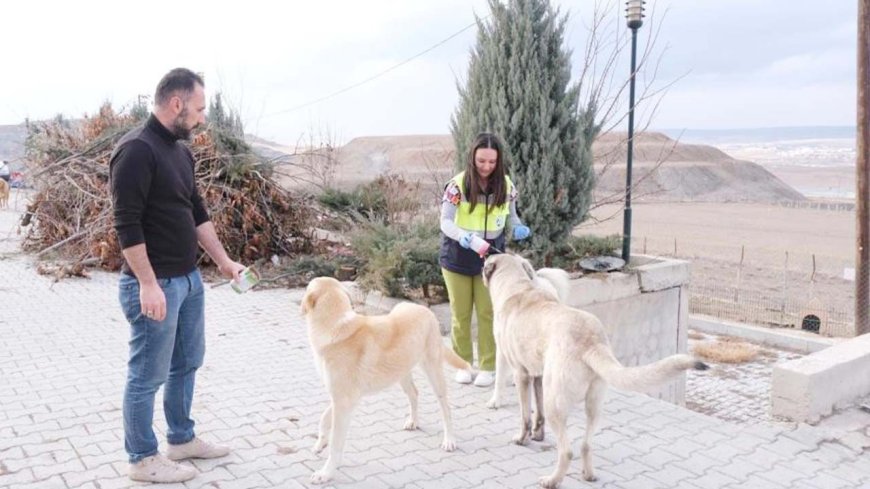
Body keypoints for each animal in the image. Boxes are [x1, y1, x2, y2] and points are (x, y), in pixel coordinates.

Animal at [304, 276, 474, 482]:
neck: (336, 325)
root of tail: (425, 310)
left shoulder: (343, 402)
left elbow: (336, 444)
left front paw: (326, 473)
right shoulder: (342, 398)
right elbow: (323, 418)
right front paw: (320, 444)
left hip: (433, 372)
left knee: (446, 408)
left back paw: (449, 440)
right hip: (401, 372)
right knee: (414, 393)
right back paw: (413, 421)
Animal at [484, 254, 708, 486]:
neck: (517, 286)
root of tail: (591, 342)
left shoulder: (521, 374)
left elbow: (525, 416)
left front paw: (523, 438)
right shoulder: (537, 376)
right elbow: (538, 414)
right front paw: (538, 435)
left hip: (555, 402)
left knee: (567, 451)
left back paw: (552, 480)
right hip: (593, 403)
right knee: (586, 444)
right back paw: (588, 474)